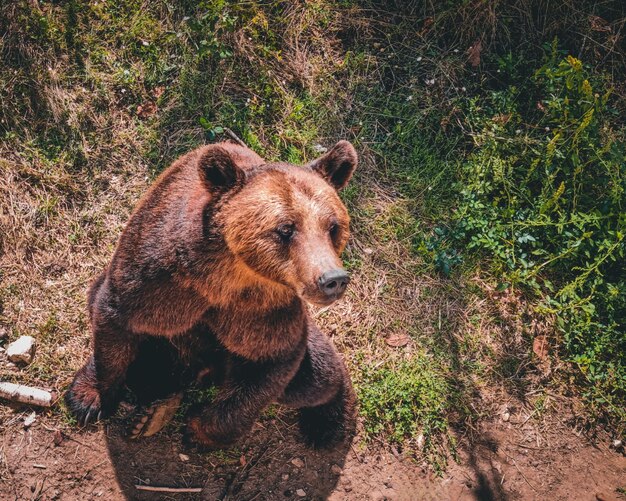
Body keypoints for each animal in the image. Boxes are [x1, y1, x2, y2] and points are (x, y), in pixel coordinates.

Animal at [66, 139, 358, 448]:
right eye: (286, 228)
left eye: (333, 226)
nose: (332, 279)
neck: (227, 277)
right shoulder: (161, 280)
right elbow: (117, 320)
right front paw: (89, 398)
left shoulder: (262, 309)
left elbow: (273, 360)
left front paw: (198, 431)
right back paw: (151, 412)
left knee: (315, 377)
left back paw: (328, 424)